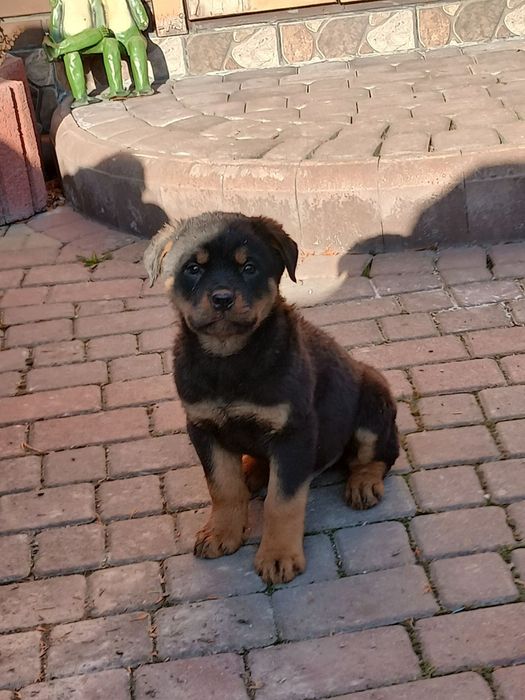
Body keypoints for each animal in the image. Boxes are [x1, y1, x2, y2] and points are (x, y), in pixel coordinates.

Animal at [143, 212, 399, 584]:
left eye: (249, 267)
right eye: (193, 268)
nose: (222, 298)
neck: (229, 359)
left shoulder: (294, 432)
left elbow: (281, 501)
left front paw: (278, 557)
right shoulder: (202, 427)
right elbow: (222, 486)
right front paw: (221, 533)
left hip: (373, 403)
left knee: (379, 455)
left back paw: (363, 483)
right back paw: (252, 470)